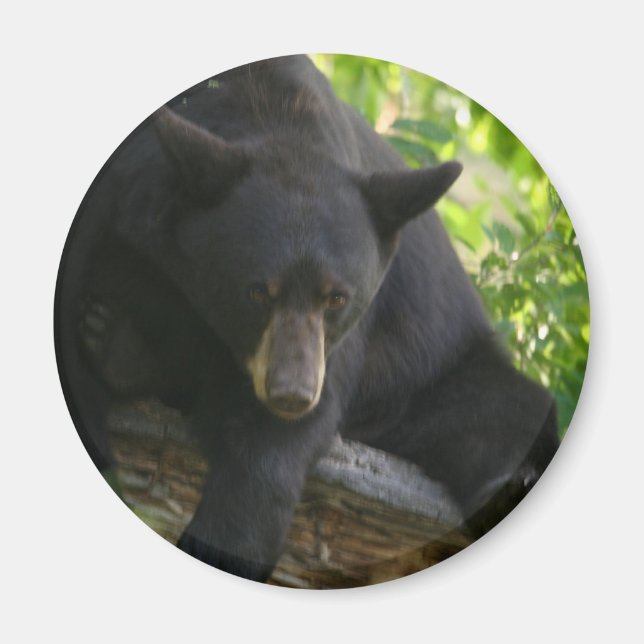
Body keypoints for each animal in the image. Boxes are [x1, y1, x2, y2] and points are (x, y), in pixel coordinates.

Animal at [55, 54, 560, 583]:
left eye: (336, 298)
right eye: (257, 290)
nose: (292, 393)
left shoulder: (338, 344)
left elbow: (269, 456)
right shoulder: (116, 207)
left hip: (434, 377)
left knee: (505, 413)